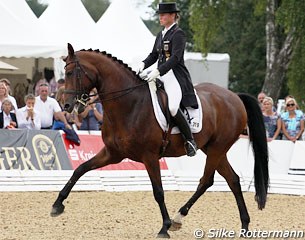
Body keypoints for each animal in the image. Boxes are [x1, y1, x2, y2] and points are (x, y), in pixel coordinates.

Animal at [51, 43, 268, 238]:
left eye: (70, 73)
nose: (66, 105)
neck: (129, 104)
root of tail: (235, 97)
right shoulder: (113, 153)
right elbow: (80, 169)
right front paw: (57, 205)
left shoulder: (150, 156)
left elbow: (158, 191)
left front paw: (164, 227)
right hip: (214, 149)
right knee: (232, 180)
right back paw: (244, 226)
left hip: (217, 148)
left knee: (206, 180)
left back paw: (177, 218)